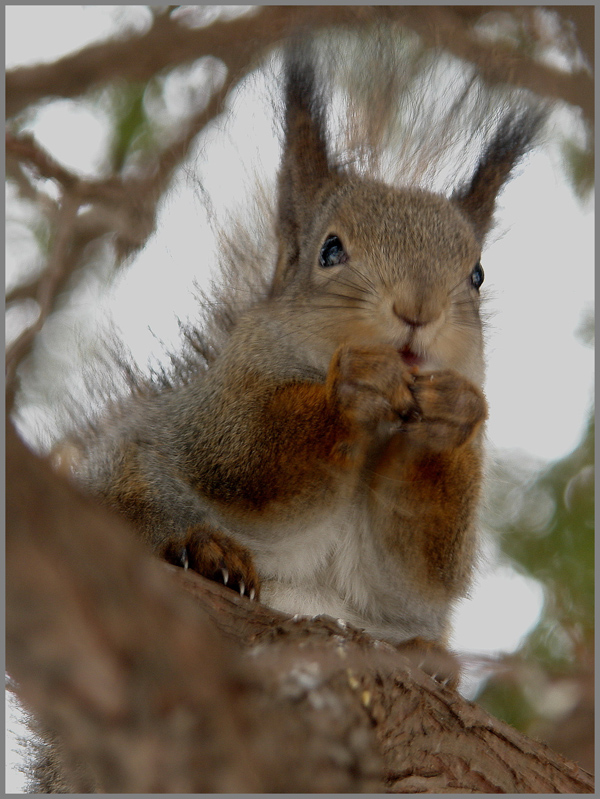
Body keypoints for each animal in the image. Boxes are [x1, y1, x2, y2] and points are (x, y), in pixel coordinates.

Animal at [59, 39, 544, 648]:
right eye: (330, 250)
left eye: (477, 275)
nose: (418, 311)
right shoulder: (227, 393)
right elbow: (247, 451)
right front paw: (353, 386)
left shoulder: (411, 566)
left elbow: (423, 562)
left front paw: (452, 412)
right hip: (126, 488)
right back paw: (204, 549)